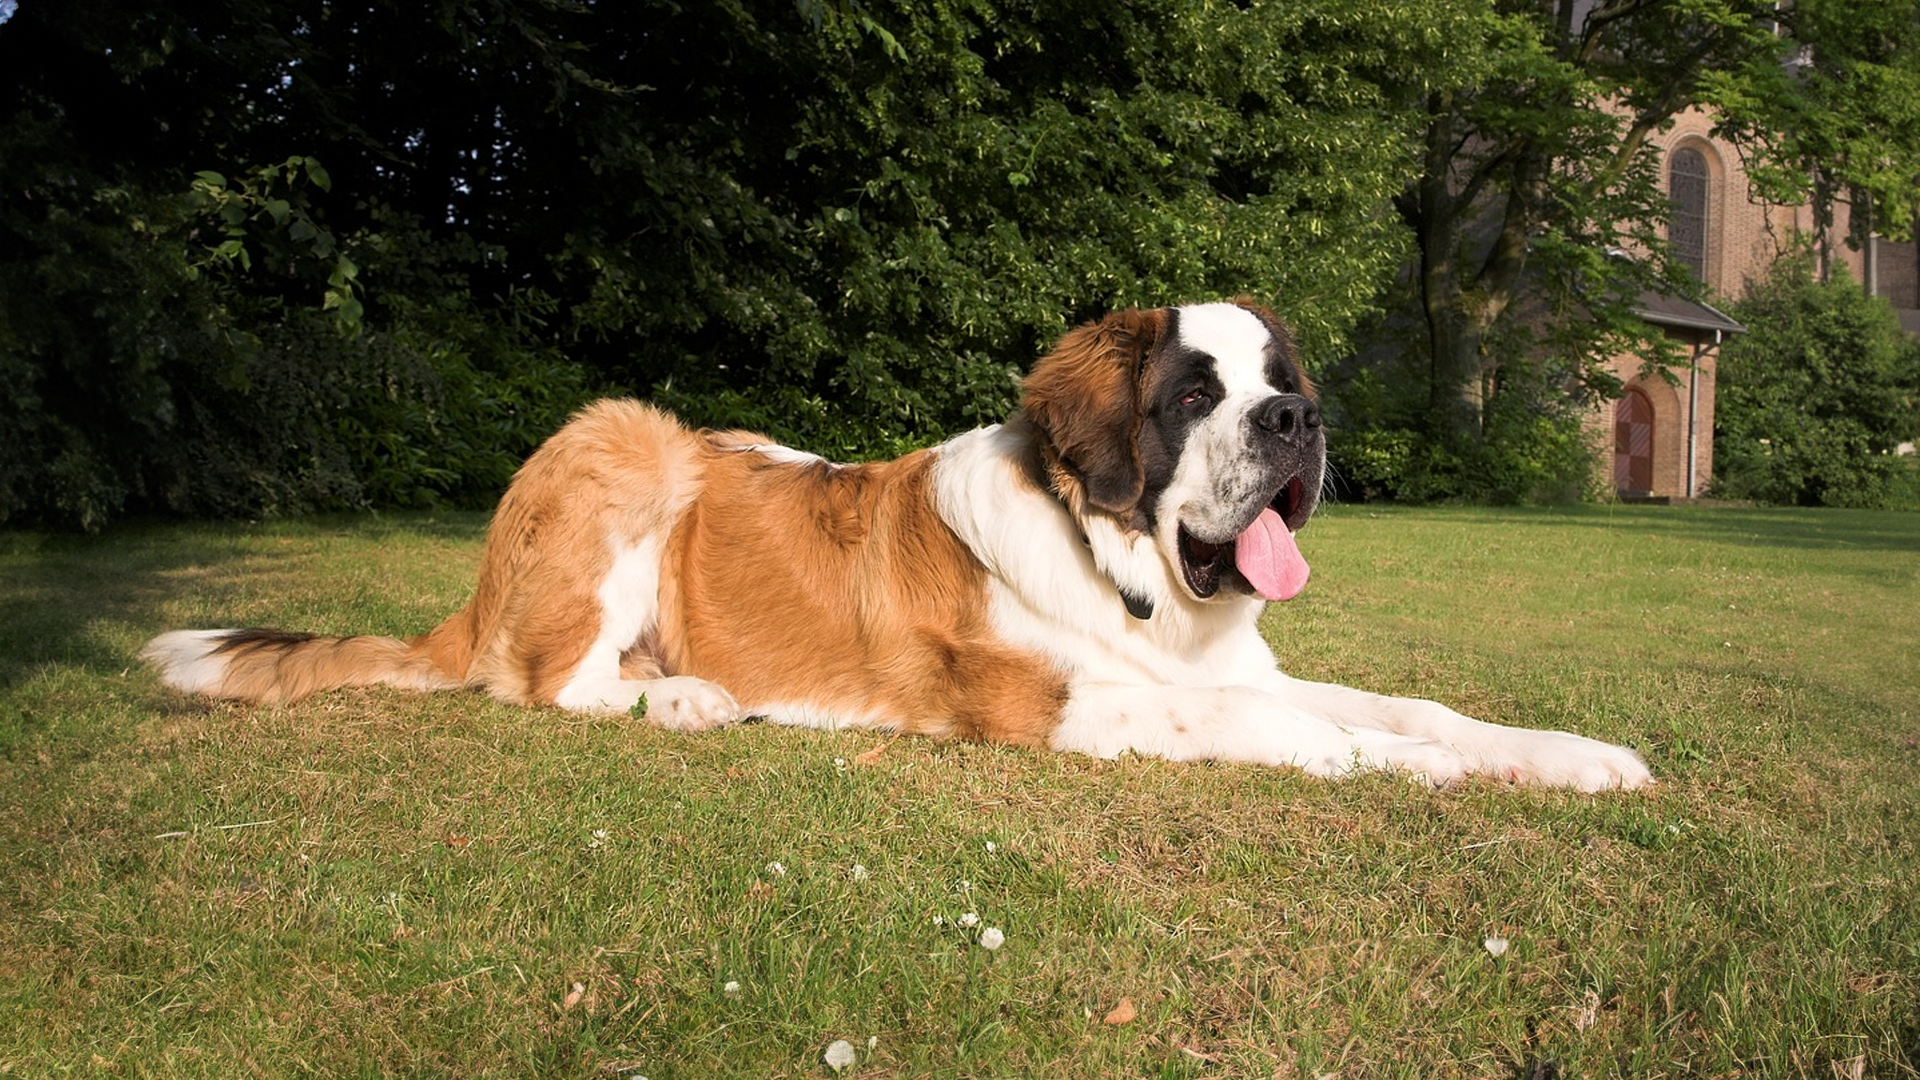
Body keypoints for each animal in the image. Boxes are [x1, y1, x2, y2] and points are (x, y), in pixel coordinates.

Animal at [149, 297, 1651, 787]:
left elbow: (1411, 707)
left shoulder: (1225, 668)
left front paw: (1572, 758)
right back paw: (687, 699)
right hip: (632, 439)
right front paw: (1414, 772)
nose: (1301, 419)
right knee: (541, 683)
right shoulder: (1052, 703)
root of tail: (471, 589)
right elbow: (1299, 731)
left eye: (1282, 379)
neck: (1128, 580)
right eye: (1192, 397)